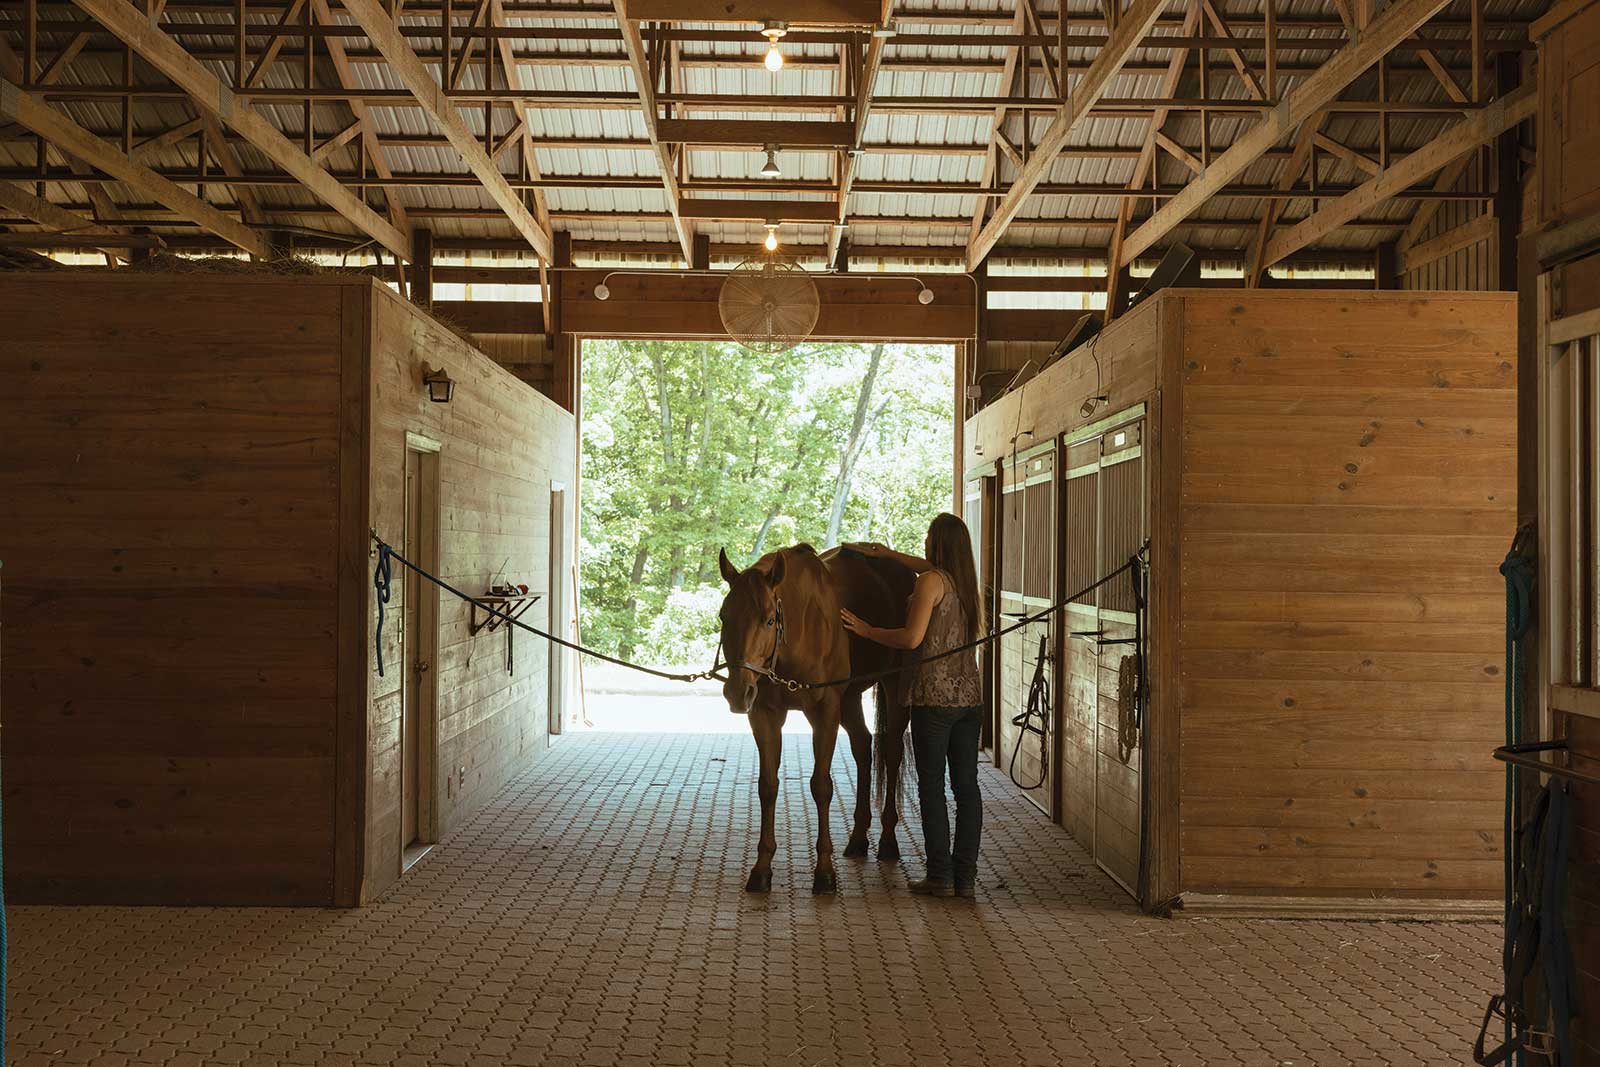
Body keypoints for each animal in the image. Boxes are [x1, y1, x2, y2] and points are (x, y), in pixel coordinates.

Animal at [716, 543, 915, 895]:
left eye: (769, 619)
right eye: (724, 616)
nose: (739, 692)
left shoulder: (824, 713)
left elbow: (821, 786)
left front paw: (824, 871)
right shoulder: (765, 716)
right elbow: (768, 786)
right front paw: (761, 868)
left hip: (893, 687)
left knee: (891, 752)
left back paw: (888, 840)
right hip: (849, 699)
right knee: (863, 748)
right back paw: (858, 838)